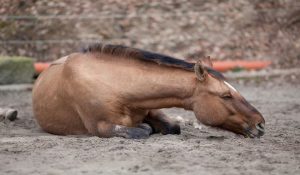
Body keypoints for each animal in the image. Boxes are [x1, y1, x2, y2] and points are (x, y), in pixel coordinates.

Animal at [32, 43, 264, 138]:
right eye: (226, 95)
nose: (260, 124)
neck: (116, 86)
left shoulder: (152, 108)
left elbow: (172, 127)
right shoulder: (101, 127)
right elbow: (142, 130)